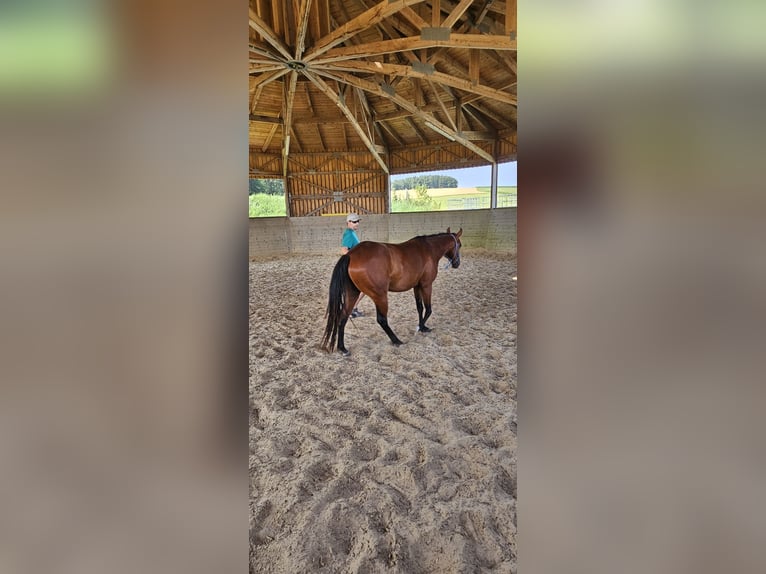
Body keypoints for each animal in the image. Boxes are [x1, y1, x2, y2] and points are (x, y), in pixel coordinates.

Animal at [321, 227, 462, 355]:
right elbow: (428, 309)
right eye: (459, 245)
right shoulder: (426, 285)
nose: (457, 263)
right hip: (380, 296)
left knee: (343, 316)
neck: (428, 250)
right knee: (382, 319)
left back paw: (342, 348)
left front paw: (422, 327)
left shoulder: (416, 286)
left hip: (353, 293)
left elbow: (420, 308)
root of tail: (350, 255)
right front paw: (420, 327)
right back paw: (396, 340)